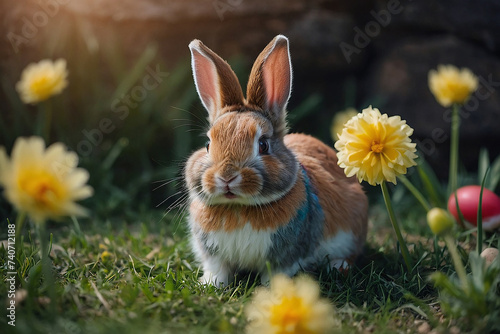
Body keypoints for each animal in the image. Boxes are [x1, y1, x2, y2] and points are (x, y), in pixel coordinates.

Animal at [185, 34, 368, 286]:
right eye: (207, 144)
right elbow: (218, 270)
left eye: (263, 145)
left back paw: (337, 266)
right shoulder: (214, 256)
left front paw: (273, 288)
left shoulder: (288, 256)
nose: (227, 177)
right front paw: (211, 284)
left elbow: (278, 271)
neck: (239, 208)